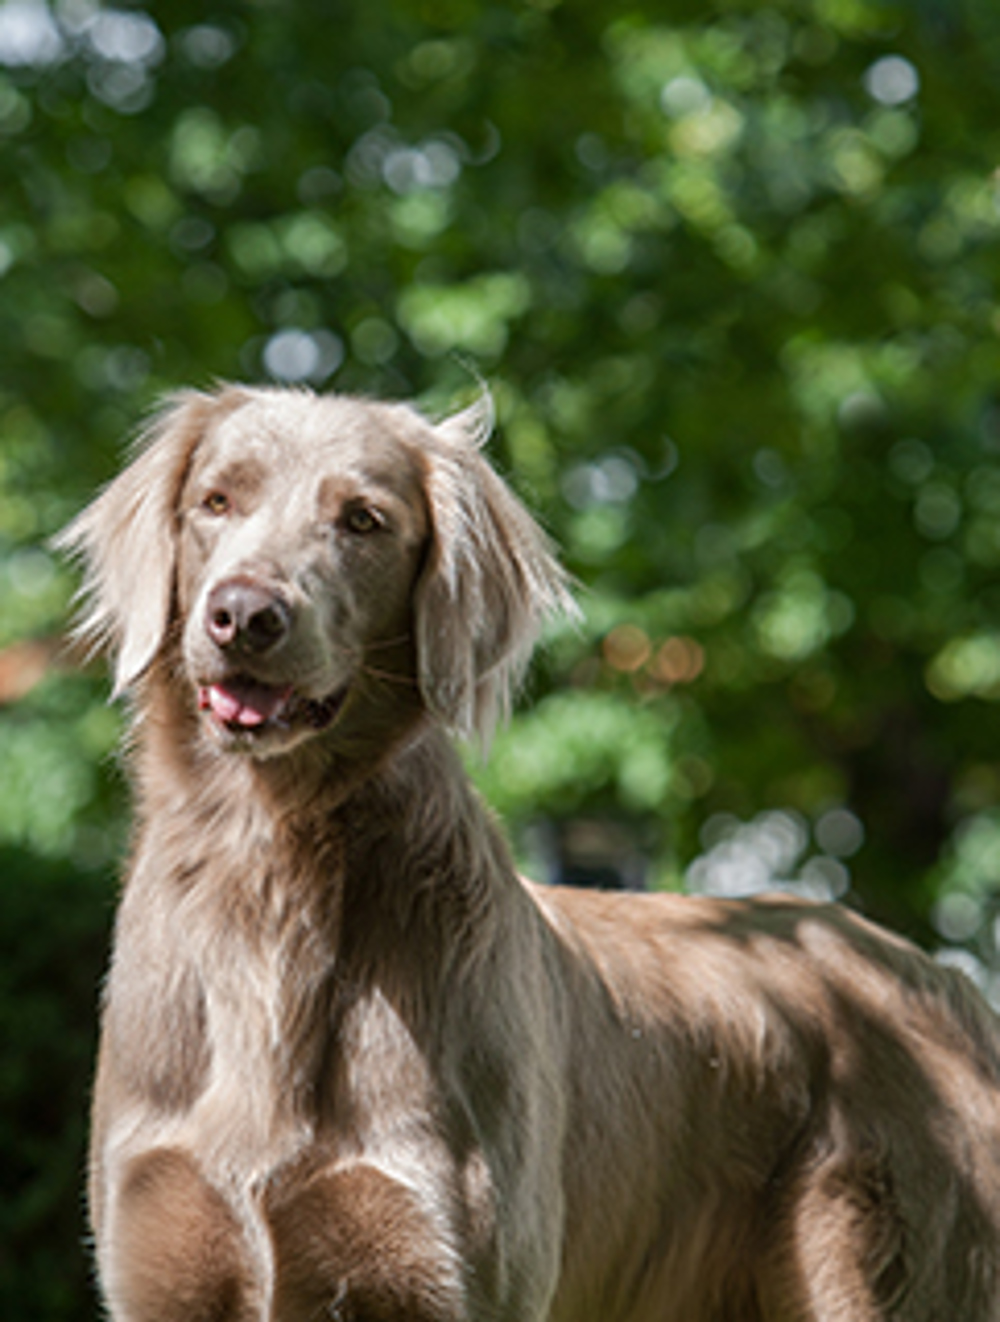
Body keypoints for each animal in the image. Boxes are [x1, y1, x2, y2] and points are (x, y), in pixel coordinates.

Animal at [58, 386, 1000, 1322]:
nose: (245, 615)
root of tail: (947, 983)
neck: (270, 869)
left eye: (362, 520)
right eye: (216, 501)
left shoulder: (459, 1275)